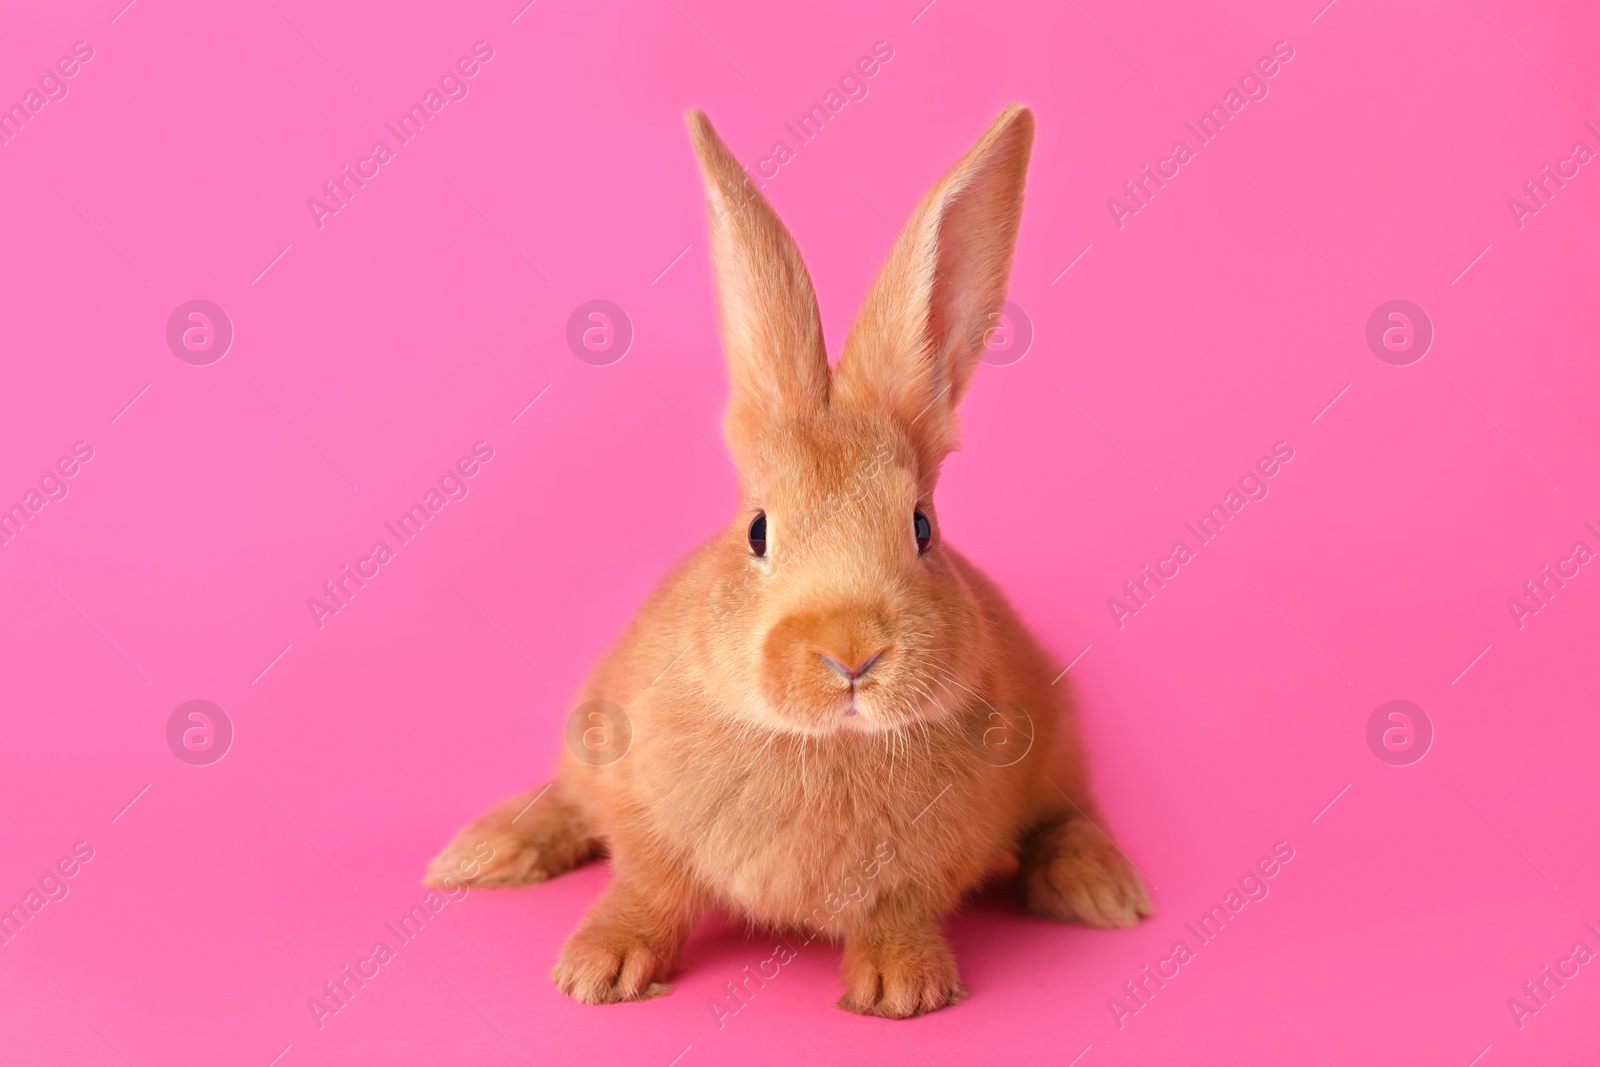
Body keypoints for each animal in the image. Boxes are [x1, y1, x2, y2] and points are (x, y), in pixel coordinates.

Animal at [425, 103, 1152, 1023]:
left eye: (922, 527)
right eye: (758, 531)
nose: (851, 654)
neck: (822, 742)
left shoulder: (928, 867)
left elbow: (899, 910)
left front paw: (901, 988)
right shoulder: (646, 817)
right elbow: (646, 889)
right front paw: (597, 969)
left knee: (1069, 816)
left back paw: (1103, 892)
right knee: (560, 802)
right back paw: (480, 854)